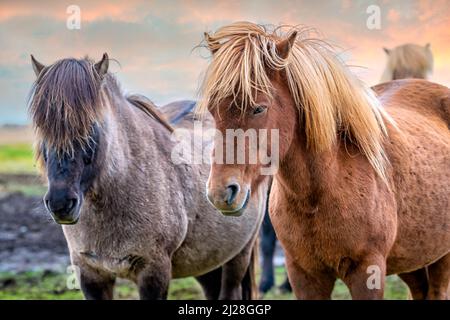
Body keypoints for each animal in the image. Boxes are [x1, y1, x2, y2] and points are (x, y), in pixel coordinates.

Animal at [200, 22, 450, 300]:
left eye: (259, 108)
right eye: (213, 110)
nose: (221, 192)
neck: (320, 192)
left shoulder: (368, 271)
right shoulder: (304, 275)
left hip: (441, 257)